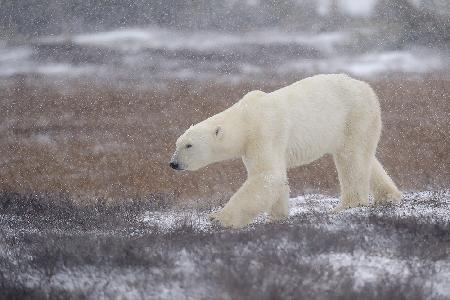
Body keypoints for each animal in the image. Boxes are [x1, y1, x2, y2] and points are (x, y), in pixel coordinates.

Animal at [171, 74, 402, 227]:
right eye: (177, 144)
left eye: (188, 145)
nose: (173, 163)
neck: (246, 117)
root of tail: (366, 86)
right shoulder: (252, 145)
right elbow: (275, 178)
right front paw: (277, 216)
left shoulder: (264, 132)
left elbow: (267, 175)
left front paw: (218, 218)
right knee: (364, 157)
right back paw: (388, 196)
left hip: (355, 115)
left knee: (352, 159)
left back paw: (348, 205)